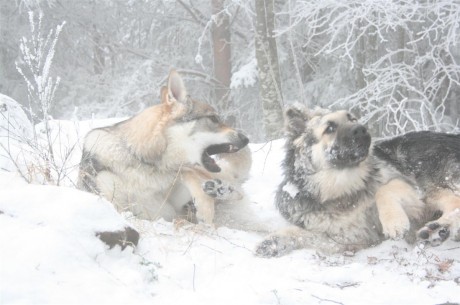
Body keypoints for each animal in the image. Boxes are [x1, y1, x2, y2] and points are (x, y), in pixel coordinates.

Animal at [78, 70, 252, 224]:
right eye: (214, 118)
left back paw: (219, 189)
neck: (142, 160)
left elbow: (187, 174)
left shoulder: (177, 202)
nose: (246, 139)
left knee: (238, 192)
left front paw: (205, 208)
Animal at [256, 105, 458, 255]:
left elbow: (383, 190)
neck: (344, 189)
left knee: (455, 203)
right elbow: (302, 234)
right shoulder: (347, 237)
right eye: (330, 128)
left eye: (352, 119)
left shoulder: (414, 192)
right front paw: (273, 240)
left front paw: (394, 222)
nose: (362, 129)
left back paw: (438, 228)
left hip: (431, 183)